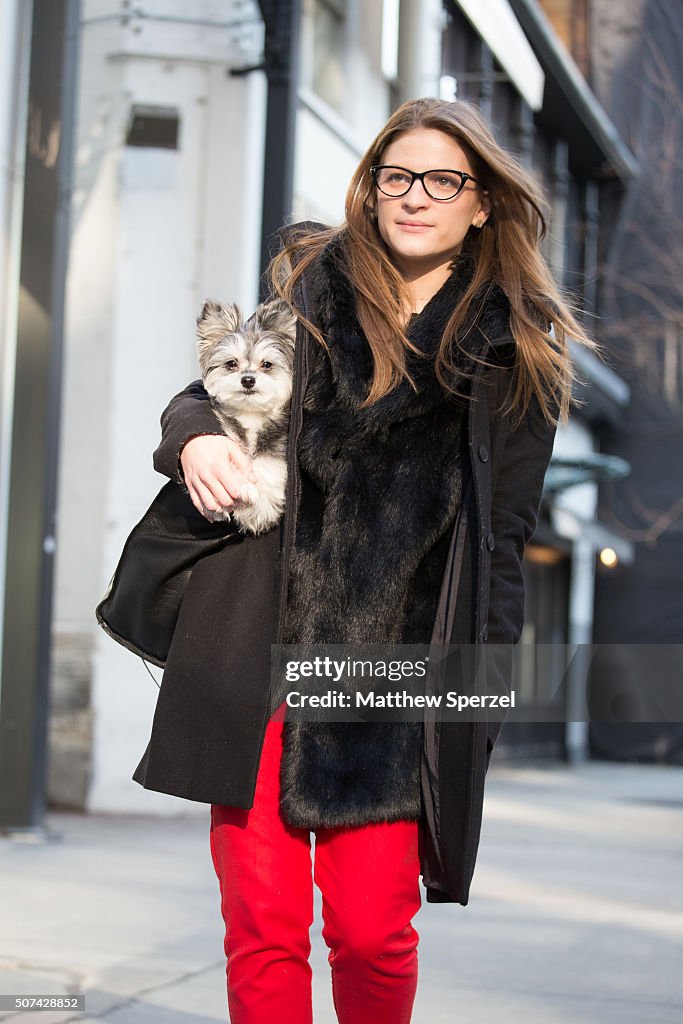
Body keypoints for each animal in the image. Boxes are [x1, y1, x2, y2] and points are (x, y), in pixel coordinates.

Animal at [194, 299, 296, 532]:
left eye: (266, 364)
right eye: (231, 363)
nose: (248, 380)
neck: (251, 413)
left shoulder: (276, 442)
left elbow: (268, 464)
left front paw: (259, 509)